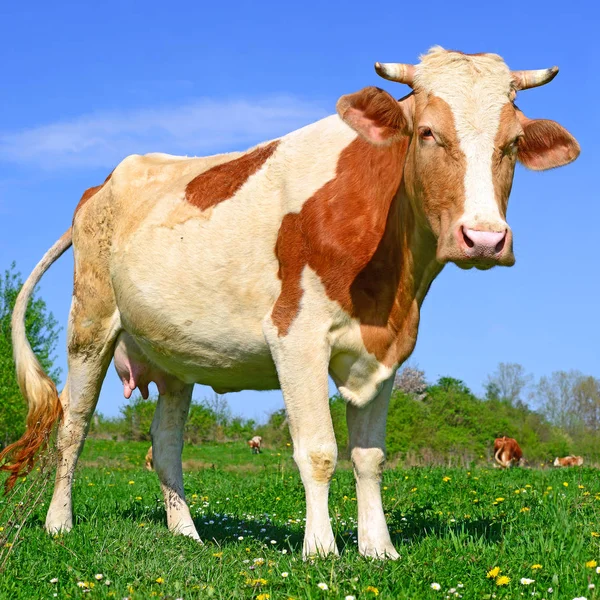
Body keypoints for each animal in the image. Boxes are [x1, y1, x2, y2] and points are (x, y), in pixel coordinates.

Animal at [1, 45, 580, 556]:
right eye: (427, 132)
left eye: (513, 142)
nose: (484, 238)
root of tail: (101, 185)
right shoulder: (295, 338)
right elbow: (319, 451)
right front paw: (321, 549)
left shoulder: (386, 352)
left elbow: (369, 457)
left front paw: (379, 550)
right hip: (90, 324)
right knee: (73, 429)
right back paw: (58, 524)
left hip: (175, 357)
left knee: (165, 447)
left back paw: (186, 535)